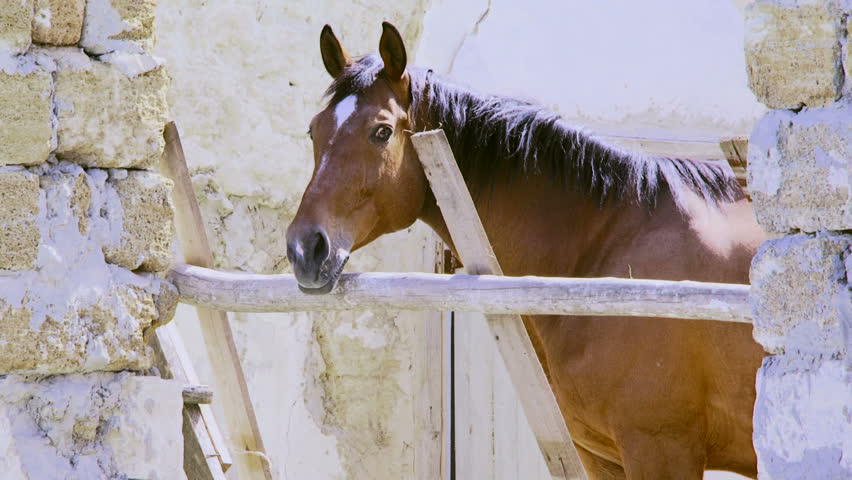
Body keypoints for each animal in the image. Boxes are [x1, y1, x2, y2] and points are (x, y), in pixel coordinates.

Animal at [286, 22, 767, 479]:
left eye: (381, 131)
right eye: (313, 129)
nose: (305, 248)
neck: (606, 254)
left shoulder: (661, 448)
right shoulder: (605, 458)